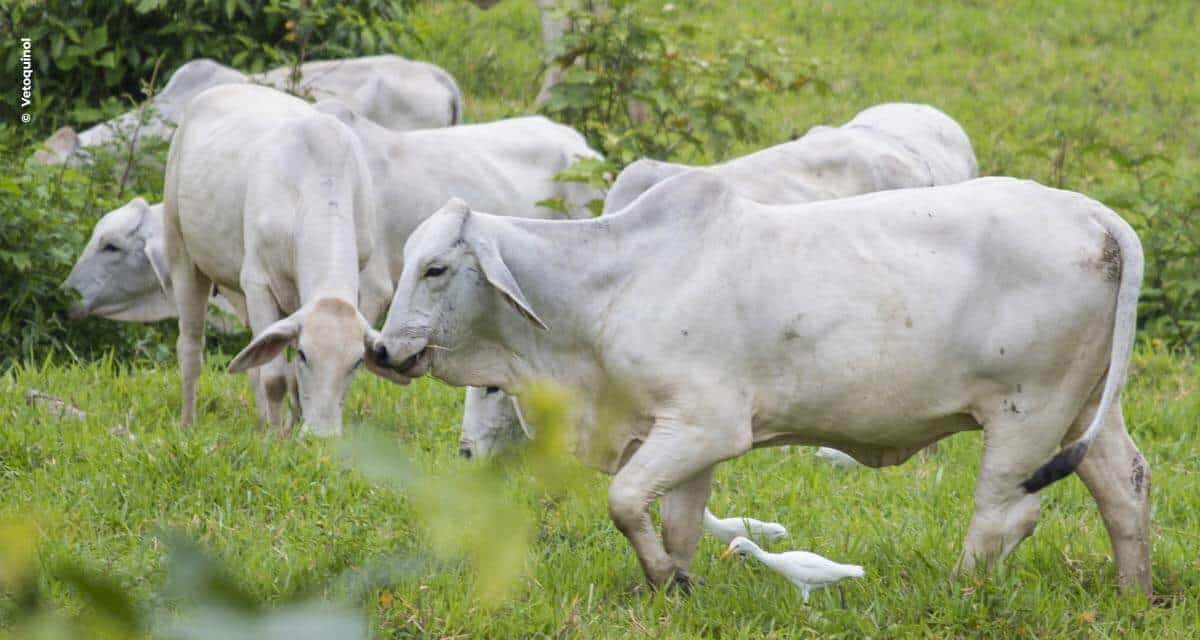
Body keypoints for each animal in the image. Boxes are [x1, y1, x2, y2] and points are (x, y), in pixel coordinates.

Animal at [164, 83, 386, 434]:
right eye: (306, 355)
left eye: (357, 362)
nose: (323, 435)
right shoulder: (257, 283)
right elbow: (276, 379)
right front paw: (277, 437)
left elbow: (286, 376)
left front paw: (288, 429)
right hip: (181, 253)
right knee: (190, 348)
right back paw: (189, 423)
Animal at [367, 170, 1152, 593]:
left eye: (435, 267)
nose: (383, 350)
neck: (612, 284)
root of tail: (1093, 214)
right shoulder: (681, 439)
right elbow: (676, 523)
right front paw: (676, 584)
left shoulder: (705, 426)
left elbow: (623, 501)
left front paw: (664, 578)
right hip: (1082, 409)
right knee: (1126, 488)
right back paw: (1133, 593)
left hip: (1027, 414)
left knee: (1005, 516)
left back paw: (960, 590)